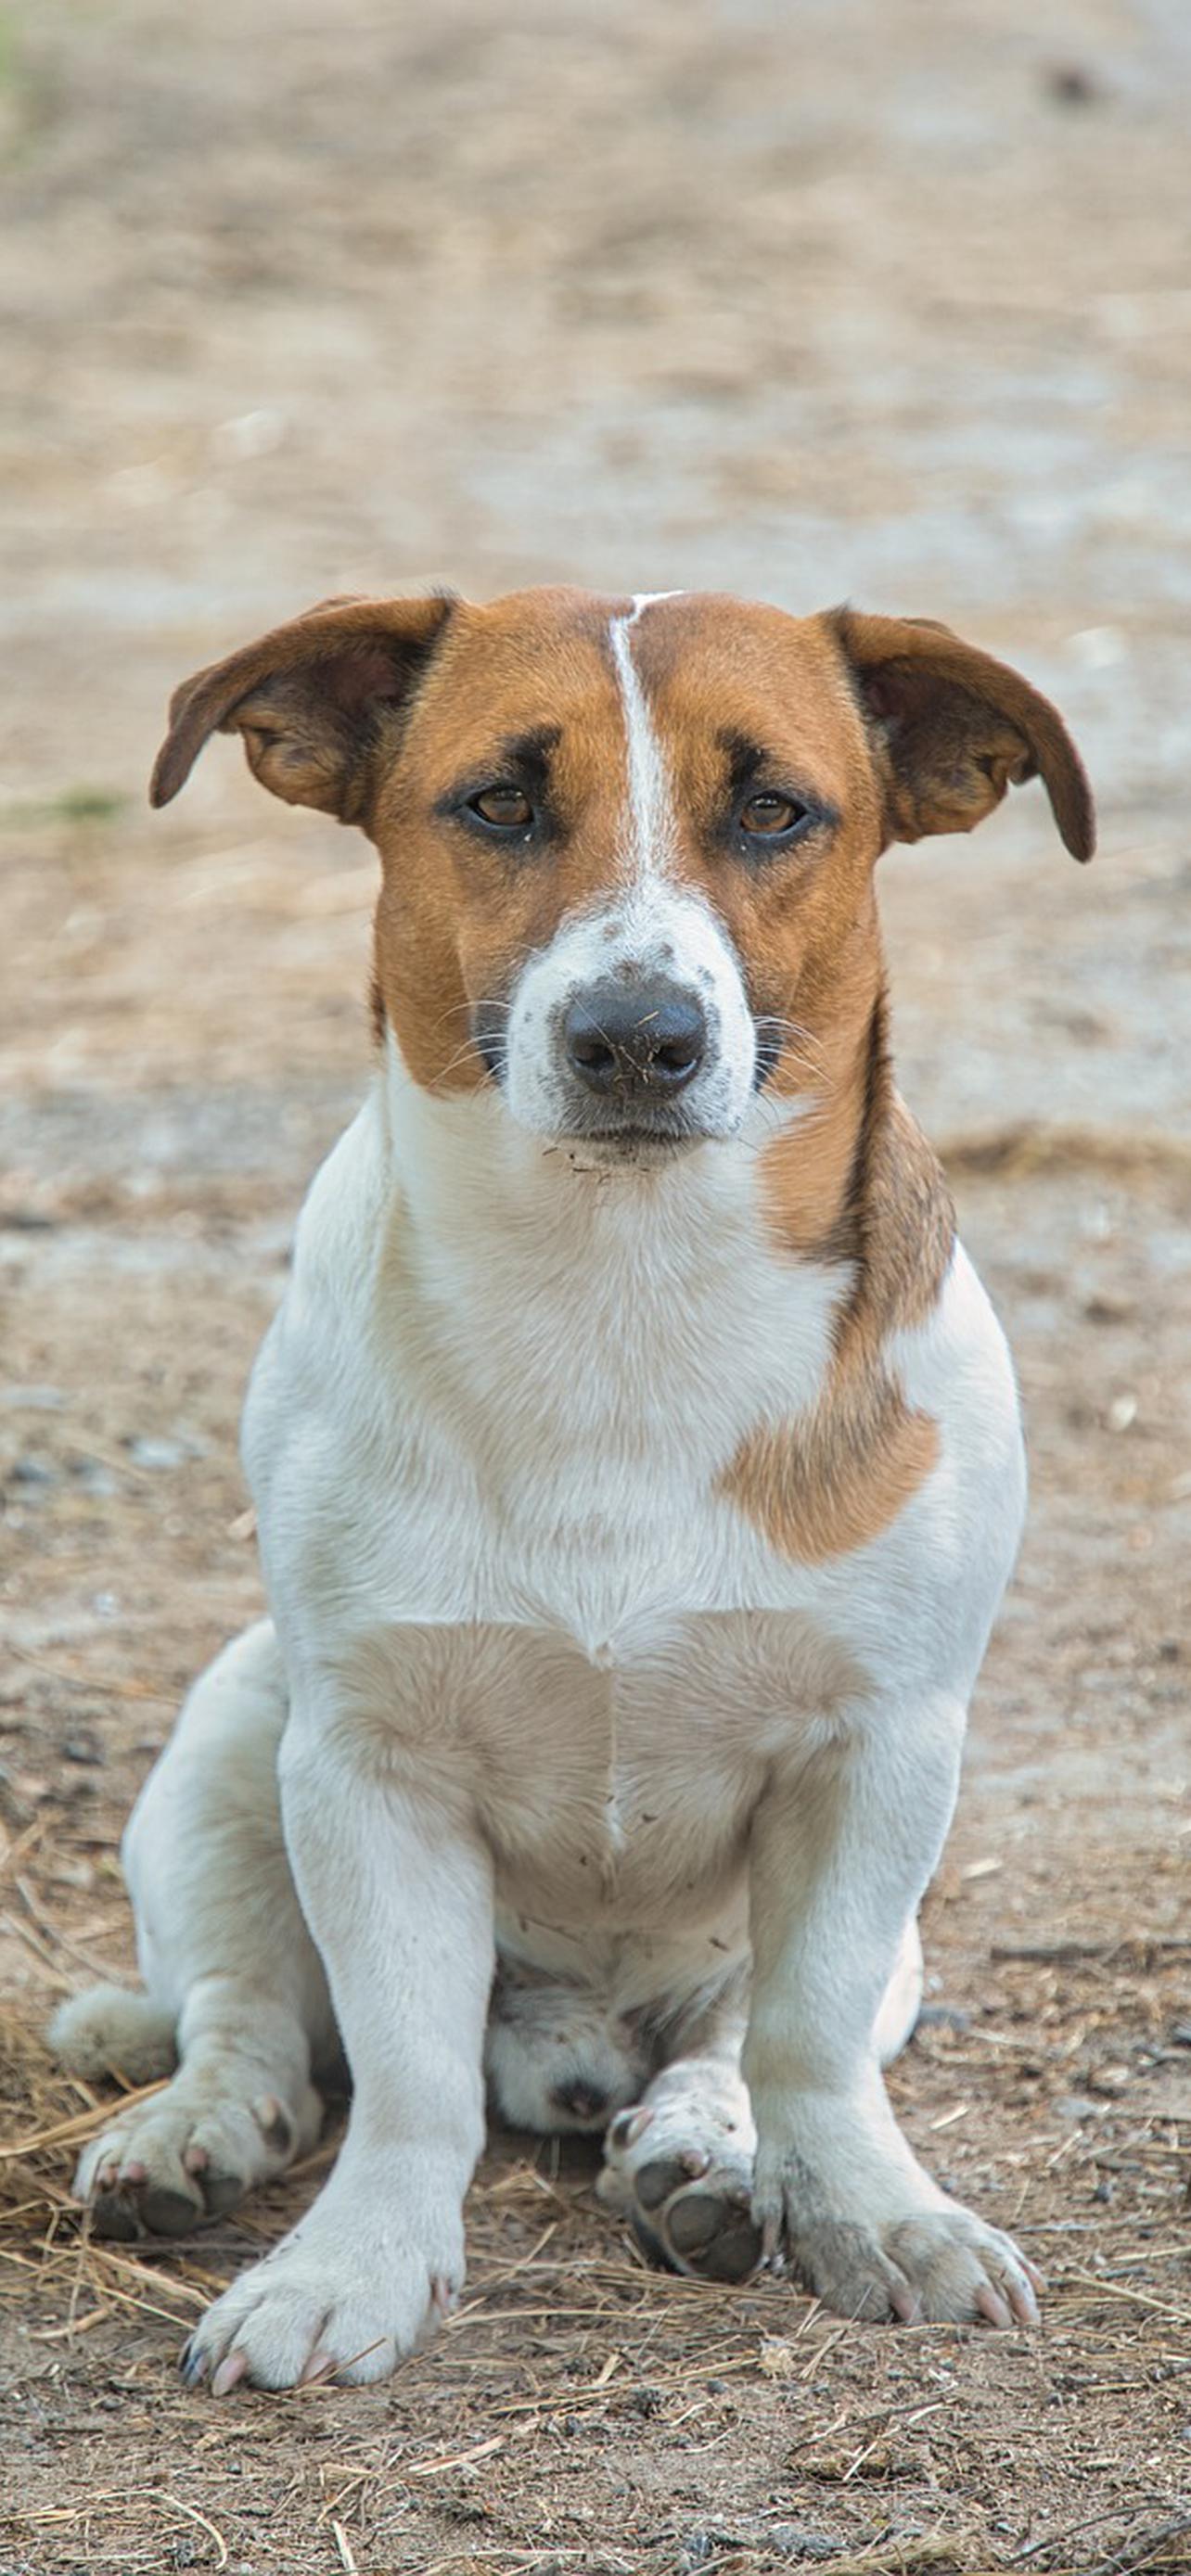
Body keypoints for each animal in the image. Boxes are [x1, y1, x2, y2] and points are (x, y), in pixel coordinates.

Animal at [51, 584, 1093, 2390]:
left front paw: (869, 2214)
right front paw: (354, 2265)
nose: (636, 1038)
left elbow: (809, 2038)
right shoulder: (368, 1765)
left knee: (727, 2040)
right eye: (497, 802)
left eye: (775, 809)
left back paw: (702, 2151)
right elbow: (399, 2078)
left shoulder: (882, 1750)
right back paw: (193, 2132)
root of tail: (573, 2033)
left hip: (870, 1928)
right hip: (230, 1742)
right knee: (249, 2010)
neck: (621, 1291)